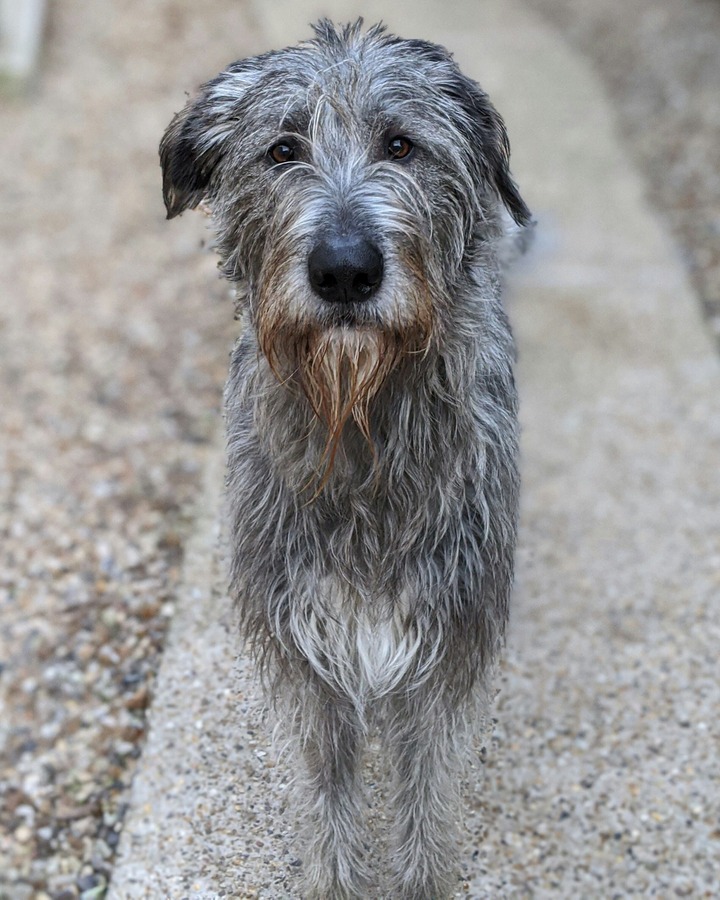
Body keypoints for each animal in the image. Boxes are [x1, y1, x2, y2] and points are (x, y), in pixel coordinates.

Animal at [160, 21, 532, 900]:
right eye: (281, 149)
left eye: (400, 143)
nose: (344, 269)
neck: (357, 429)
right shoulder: (306, 655)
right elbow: (328, 800)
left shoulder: (445, 648)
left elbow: (427, 802)